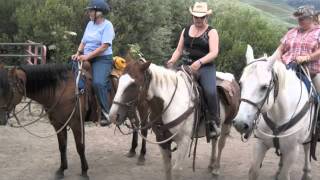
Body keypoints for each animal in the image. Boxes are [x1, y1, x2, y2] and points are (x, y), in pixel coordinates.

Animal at [232, 44, 316, 180]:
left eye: (264, 87)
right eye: (240, 84)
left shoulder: (292, 151)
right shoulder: (260, 144)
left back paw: (307, 173)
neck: (280, 115)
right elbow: (254, 171)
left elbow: (284, 175)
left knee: (307, 146)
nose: (240, 123)